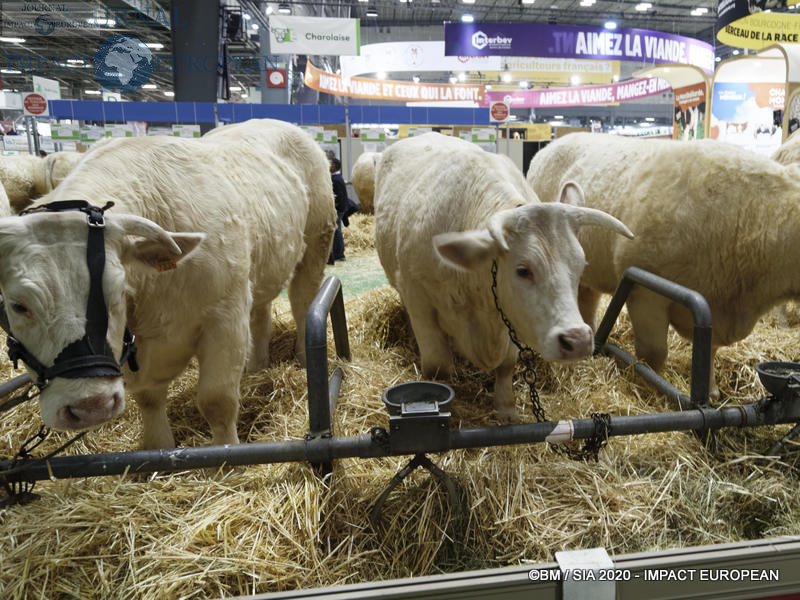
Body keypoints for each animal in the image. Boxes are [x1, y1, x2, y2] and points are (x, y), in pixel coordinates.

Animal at [0, 131, 334, 450]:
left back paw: (303, 360)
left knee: (302, 304)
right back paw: (256, 367)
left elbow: (217, 401)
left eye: (116, 291)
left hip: (315, 245)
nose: (91, 406)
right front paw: (157, 447)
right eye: (18, 305)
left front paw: (227, 457)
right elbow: (149, 401)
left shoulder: (225, 317)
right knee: (261, 315)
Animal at [374, 134, 632, 420]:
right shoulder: (419, 300)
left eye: (580, 265)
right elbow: (438, 368)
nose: (577, 340)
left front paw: (506, 408)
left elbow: (507, 365)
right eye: (523, 270)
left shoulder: (509, 315)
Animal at [528, 134, 800, 400]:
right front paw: (652, 393)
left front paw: (711, 390)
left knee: (588, 300)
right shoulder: (646, 293)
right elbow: (653, 354)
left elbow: (708, 349)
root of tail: (554, 143)